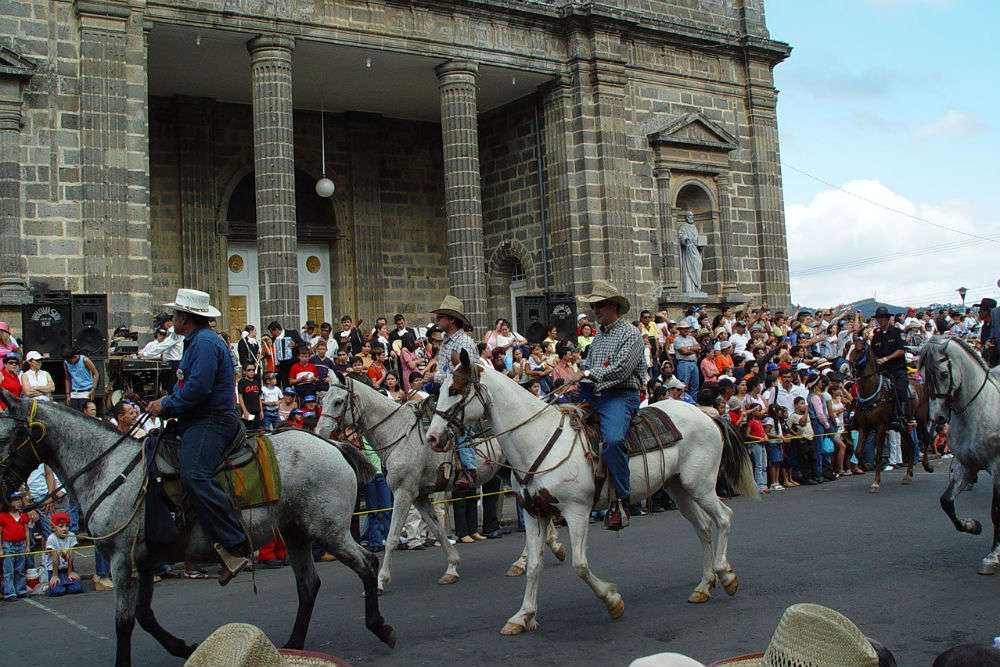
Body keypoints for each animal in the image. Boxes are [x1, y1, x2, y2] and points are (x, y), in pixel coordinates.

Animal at [0, 394, 398, 664]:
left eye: (7, 436)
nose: (4, 492)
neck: (110, 470)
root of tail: (332, 443)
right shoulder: (145, 561)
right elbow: (144, 616)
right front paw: (183, 647)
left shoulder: (123, 561)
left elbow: (124, 622)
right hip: (297, 532)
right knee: (309, 585)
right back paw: (294, 645)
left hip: (327, 529)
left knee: (365, 564)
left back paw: (380, 626)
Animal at [316, 378, 568, 592]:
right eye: (323, 399)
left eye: (338, 401)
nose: (319, 432)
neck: (398, 434)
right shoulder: (419, 496)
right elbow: (437, 530)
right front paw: (452, 568)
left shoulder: (404, 492)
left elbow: (392, 537)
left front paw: (380, 581)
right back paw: (547, 550)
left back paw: (526, 560)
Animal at [424, 350, 756, 636]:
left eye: (455, 389)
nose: (432, 438)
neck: (538, 438)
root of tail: (707, 415)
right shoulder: (533, 513)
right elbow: (533, 566)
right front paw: (523, 616)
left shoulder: (576, 512)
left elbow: (580, 566)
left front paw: (612, 600)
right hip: (679, 488)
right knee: (704, 527)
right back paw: (704, 586)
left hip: (700, 485)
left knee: (723, 518)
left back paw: (726, 575)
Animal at [848, 336, 932, 494]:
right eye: (850, 349)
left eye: (861, 349)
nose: (848, 368)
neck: (872, 392)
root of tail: (920, 384)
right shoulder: (864, 427)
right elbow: (858, 451)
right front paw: (865, 465)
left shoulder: (881, 427)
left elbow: (878, 455)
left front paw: (875, 483)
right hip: (902, 426)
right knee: (912, 444)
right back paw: (908, 475)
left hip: (921, 419)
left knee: (926, 438)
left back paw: (927, 466)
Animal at [916, 336, 1000, 576]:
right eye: (923, 376)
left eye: (944, 373)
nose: (938, 418)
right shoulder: (965, 465)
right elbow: (946, 501)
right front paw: (972, 525)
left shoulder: (997, 467)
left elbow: (996, 511)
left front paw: (993, 557)